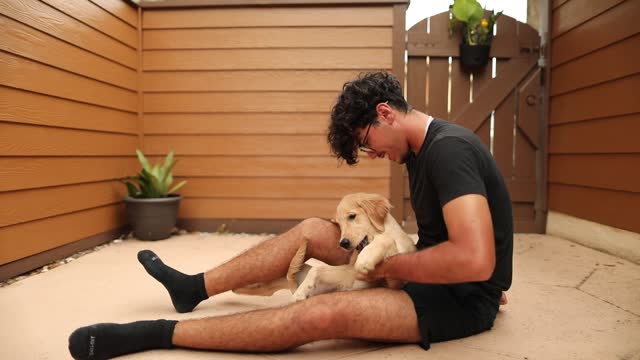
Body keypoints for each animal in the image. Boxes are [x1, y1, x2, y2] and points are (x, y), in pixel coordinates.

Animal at [232, 194, 418, 300]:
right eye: (338, 225)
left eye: (352, 216)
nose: (343, 243)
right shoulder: (351, 273)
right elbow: (318, 269)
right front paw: (303, 291)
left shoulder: (396, 280)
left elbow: (386, 241)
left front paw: (366, 258)